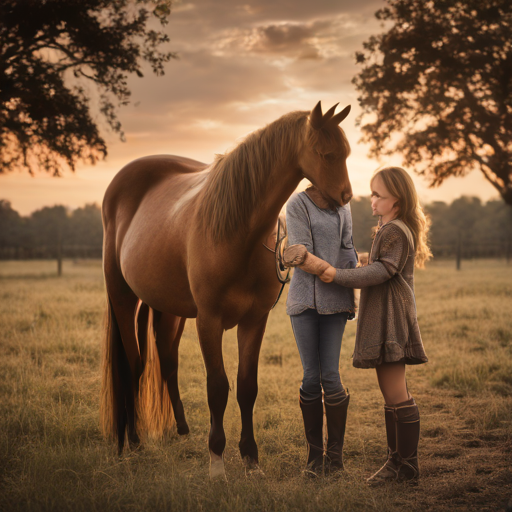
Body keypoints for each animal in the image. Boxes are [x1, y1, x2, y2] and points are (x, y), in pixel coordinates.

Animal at [99, 101, 352, 480]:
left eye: (346, 153)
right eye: (325, 153)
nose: (345, 197)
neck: (238, 233)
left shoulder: (254, 321)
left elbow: (247, 387)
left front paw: (250, 458)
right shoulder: (209, 321)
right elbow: (217, 388)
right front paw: (217, 462)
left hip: (168, 310)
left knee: (166, 361)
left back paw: (179, 430)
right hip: (123, 298)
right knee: (133, 364)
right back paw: (133, 442)